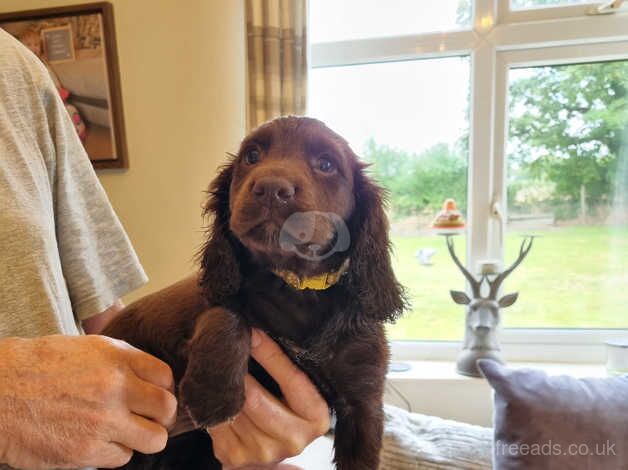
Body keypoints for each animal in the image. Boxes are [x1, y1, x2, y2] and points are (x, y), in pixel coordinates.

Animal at [103, 116, 408, 470]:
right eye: (252, 156)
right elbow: (227, 313)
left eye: (326, 164)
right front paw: (213, 395)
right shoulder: (212, 301)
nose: (271, 189)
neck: (296, 287)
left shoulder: (363, 402)